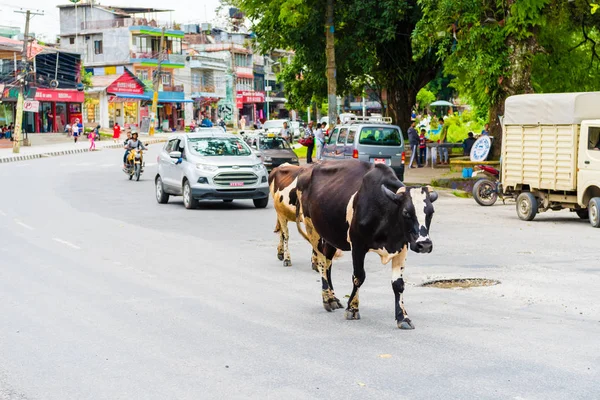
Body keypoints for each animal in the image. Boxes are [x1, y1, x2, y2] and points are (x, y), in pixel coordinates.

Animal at [298, 158, 438, 330]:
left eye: (431, 212)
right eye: (406, 212)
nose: (424, 245)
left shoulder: (402, 247)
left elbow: (398, 284)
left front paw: (403, 317)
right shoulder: (357, 245)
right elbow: (359, 276)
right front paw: (352, 308)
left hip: (331, 235)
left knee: (328, 261)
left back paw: (333, 297)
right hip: (312, 228)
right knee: (322, 263)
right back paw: (328, 299)